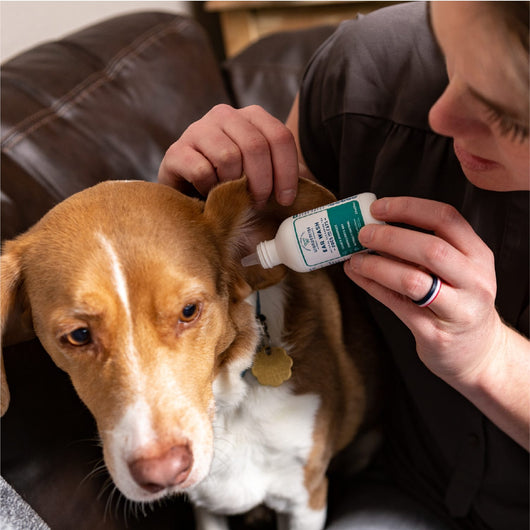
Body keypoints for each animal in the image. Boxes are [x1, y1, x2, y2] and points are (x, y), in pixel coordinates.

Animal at [0, 178, 374, 528]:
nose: (164, 472)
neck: (227, 408)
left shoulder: (305, 499)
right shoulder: (205, 507)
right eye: (78, 335)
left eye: (189, 310)